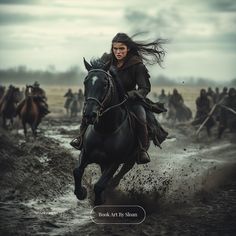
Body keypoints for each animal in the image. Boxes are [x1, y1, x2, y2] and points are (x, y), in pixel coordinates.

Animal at [74, 59, 141, 205]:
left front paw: (100, 199)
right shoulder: (86, 152)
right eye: (85, 82)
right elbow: (77, 171)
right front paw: (81, 192)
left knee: (120, 174)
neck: (105, 130)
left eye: (105, 84)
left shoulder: (114, 161)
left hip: (131, 159)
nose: (89, 114)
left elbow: (100, 185)